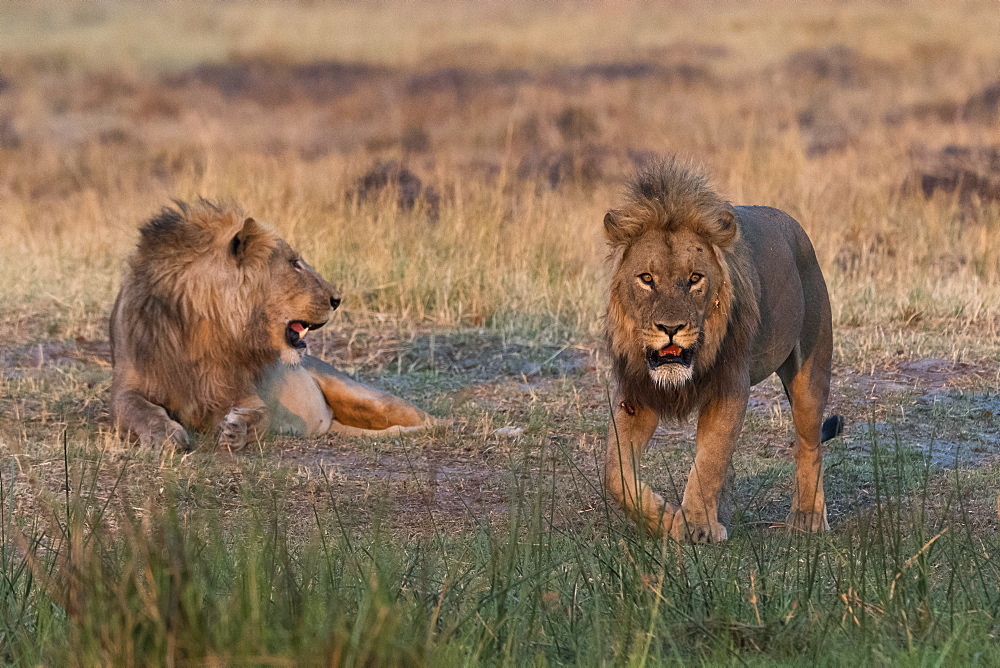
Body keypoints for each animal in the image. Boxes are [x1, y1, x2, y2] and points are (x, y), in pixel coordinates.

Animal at [110, 198, 434, 448]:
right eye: (294, 263)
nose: (337, 299)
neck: (204, 327)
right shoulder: (127, 387)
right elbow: (140, 410)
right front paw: (164, 436)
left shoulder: (243, 392)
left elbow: (259, 415)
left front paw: (237, 428)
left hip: (367, 397)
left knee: (430, 419)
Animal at [600, 160, 844, 544]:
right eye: (647, 279)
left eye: (695, 278)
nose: (670, 328)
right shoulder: (637, 395)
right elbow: (615, 474)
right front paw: (666, 519)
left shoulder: (729, 386)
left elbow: (710, 459)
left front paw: (696, 526)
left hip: (811, 369)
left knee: (809, 445)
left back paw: (808, 517)